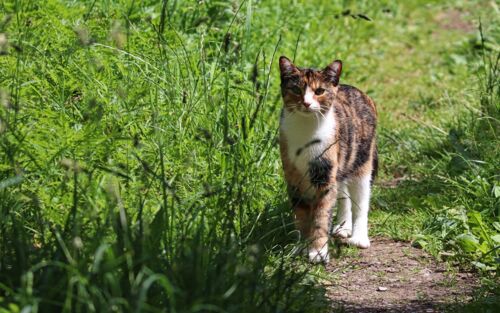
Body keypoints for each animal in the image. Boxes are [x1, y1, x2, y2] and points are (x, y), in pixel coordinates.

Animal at [278, 54, 378, 262]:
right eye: (296, 89)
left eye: (319, 91)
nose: (306, 103)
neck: (306, 129)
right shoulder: (292, 176)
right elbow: (300, 215)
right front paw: (300, 246)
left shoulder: (324, 173)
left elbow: (321, 214)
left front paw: (318, 251)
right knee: (343, 193)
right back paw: (343, 226)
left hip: (361, 161)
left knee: (361, 200)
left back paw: (359, 237)